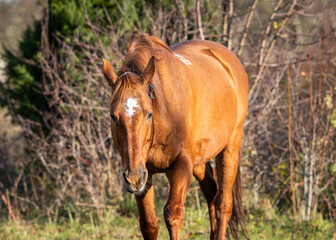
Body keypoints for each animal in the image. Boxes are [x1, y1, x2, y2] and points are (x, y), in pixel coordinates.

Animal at [103, 34, 249, 239]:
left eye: (149, 114)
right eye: (112, 116)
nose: (133, 178)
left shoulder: (181, 164)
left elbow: (174, 215)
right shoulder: (145, 173)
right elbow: (149, 223)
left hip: (230, 148)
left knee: (224, 204)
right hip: (199, 160)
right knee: (212, 193)